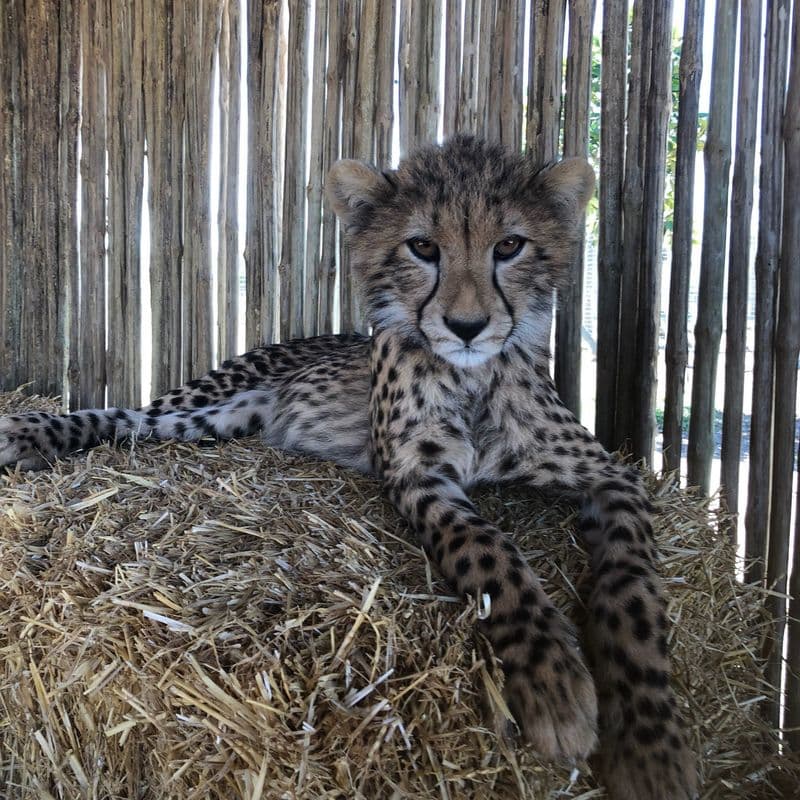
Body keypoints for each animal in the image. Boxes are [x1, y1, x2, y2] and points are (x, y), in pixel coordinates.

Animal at [0, 136, 697, 799]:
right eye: (422, 246)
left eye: (510, 245)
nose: (467, 326)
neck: (473, 382)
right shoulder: (417, 477)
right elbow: (490, 551)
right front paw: (554, 680)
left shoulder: (613, 476)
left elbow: (632, 590)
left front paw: (650, 747)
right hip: (204, 406)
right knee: (126, 416)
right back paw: (29, 431)